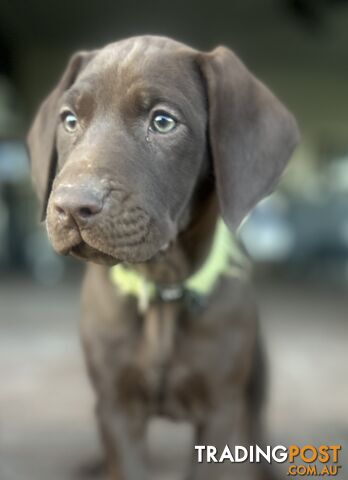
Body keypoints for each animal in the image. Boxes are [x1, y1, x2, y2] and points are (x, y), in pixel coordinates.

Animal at [27, 35, 300, 478]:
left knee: (256, 419)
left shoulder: (219, 409)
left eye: (163, 122)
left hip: (255, 373)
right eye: (69, 120)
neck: (163, 288)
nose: (70, 207)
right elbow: (126, 464)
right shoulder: (116, 406)